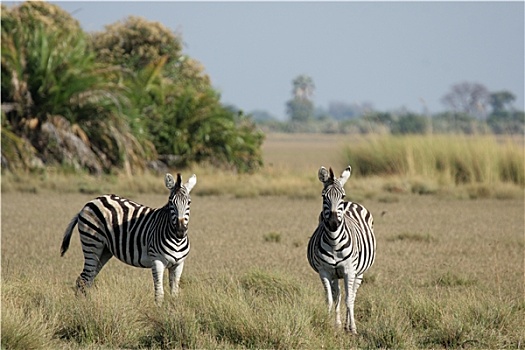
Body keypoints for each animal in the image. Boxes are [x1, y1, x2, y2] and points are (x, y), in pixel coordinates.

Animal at [59, 172, 198, 304]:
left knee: (87, 279)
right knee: (84, 279)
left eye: (189, 202)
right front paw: (159, 310)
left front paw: (172, 310)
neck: (176, 240)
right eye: (170, 202)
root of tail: (91, 202)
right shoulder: (157, 261)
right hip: (92, 244)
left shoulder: (178, 264)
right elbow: (159, 294)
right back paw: (83, 307)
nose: (180, 231)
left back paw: (86, 304)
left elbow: (174, 294)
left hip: (104, 251)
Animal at [308, 166, 376, 334]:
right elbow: (330, 299)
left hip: (358, 272)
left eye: (342, 196)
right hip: (335, 274)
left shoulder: (349, 270)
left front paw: (353, 328)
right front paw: (328, 324)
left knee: (351, 295)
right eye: (323, 196)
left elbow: (348, 299)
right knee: (337, 294)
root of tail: (351, 203)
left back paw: (348, 325)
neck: (334, 242)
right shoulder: (324, 272)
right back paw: (339, 324)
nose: (333, 223)